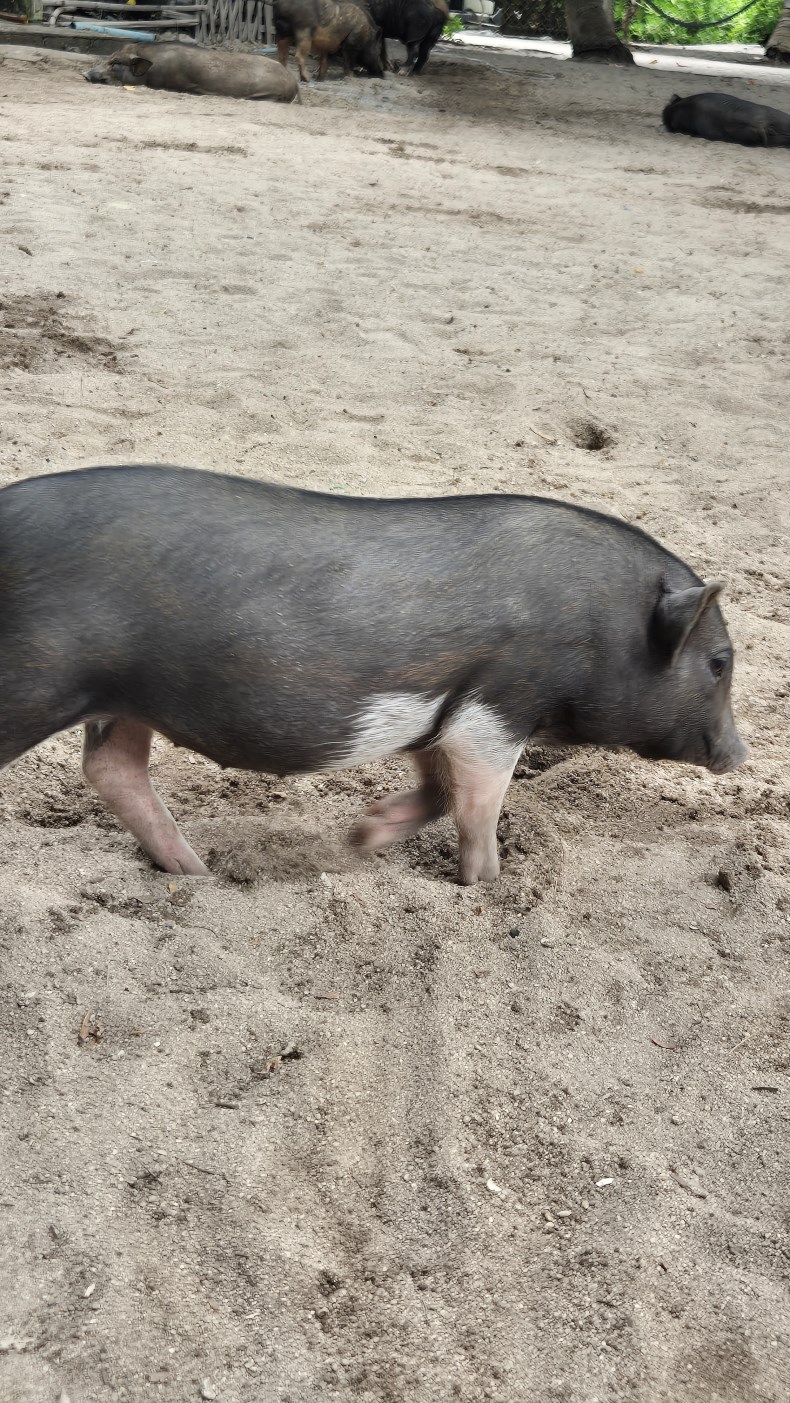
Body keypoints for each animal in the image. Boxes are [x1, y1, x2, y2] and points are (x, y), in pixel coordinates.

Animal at [0, 466, 746, 886]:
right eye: (718, 662)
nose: (740, 755)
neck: (603, 629)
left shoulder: (443, 712)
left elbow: (440, 792)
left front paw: (363, 836)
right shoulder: (499, 706)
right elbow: (478, 807)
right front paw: (486, 884)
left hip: (126, 700)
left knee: (114, 769)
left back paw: (199, 874)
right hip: (34, 683)